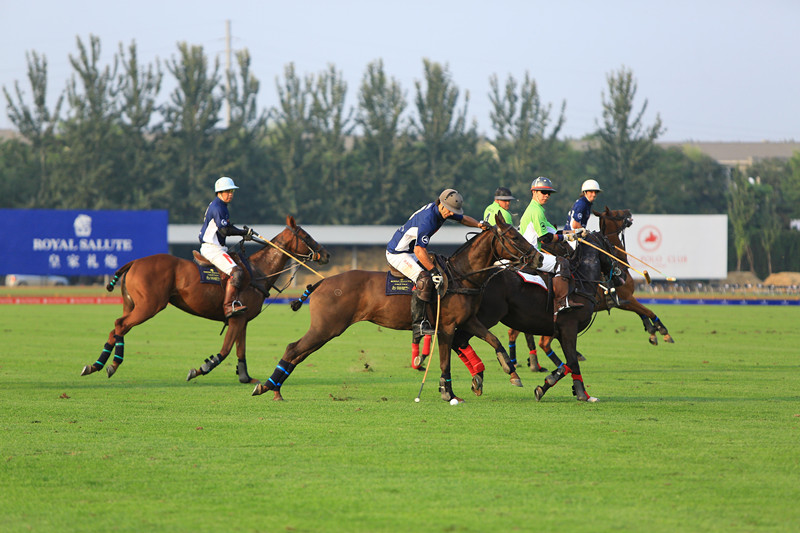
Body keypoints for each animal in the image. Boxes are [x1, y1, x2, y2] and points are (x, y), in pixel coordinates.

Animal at [79, 214, 330, 384]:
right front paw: (201, 368)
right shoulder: (236, 317)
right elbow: (226, 349)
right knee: (120, 325)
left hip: (132, 304)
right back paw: (112, 365)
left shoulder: (242, 319)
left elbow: (240, 349)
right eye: (306, 236)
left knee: (116, 328)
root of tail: (133, 262)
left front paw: (245, 377)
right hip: (150, 305)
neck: (259, 271)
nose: (326, 255)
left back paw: (95, 365)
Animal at [252, 214, 544, 402]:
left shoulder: (469, 320)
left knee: (299, 354)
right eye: (514, 236)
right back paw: (266, 387)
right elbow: (445, 361)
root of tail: (323, 281)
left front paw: (511, 372)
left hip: (327, 329)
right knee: (293, 349)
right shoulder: (446, 327)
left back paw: (274, 388)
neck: (462, 276)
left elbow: (494, 340)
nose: (539, 258)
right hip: (327, 327)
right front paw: (448, 393)